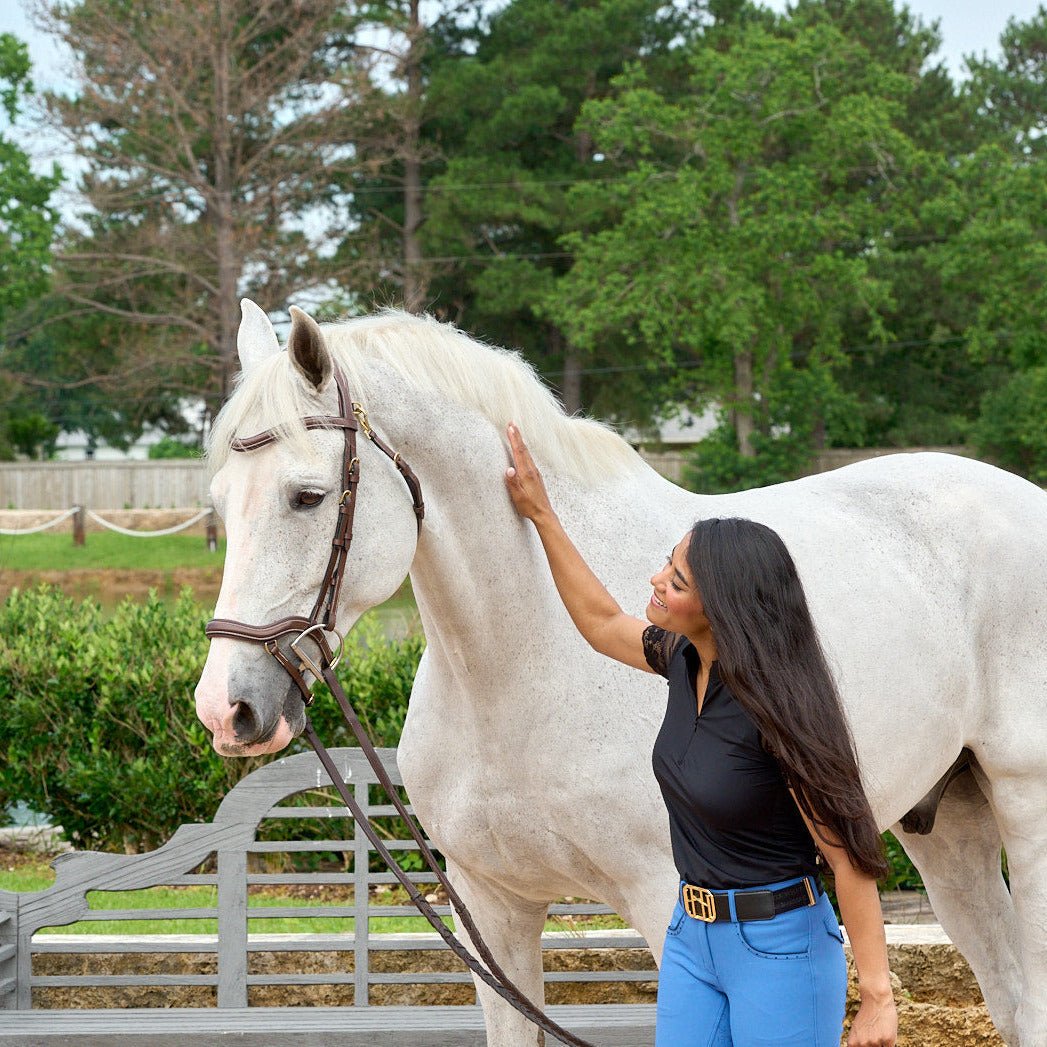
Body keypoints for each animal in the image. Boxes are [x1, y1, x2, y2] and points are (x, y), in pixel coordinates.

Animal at [194, 299, 1047, 1042]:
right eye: (221, 504)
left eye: (307, 496)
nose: (227, 709)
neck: (517, 664)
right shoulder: (494, 909)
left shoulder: (662, 900)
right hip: (943, 823)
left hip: (1022, 800)